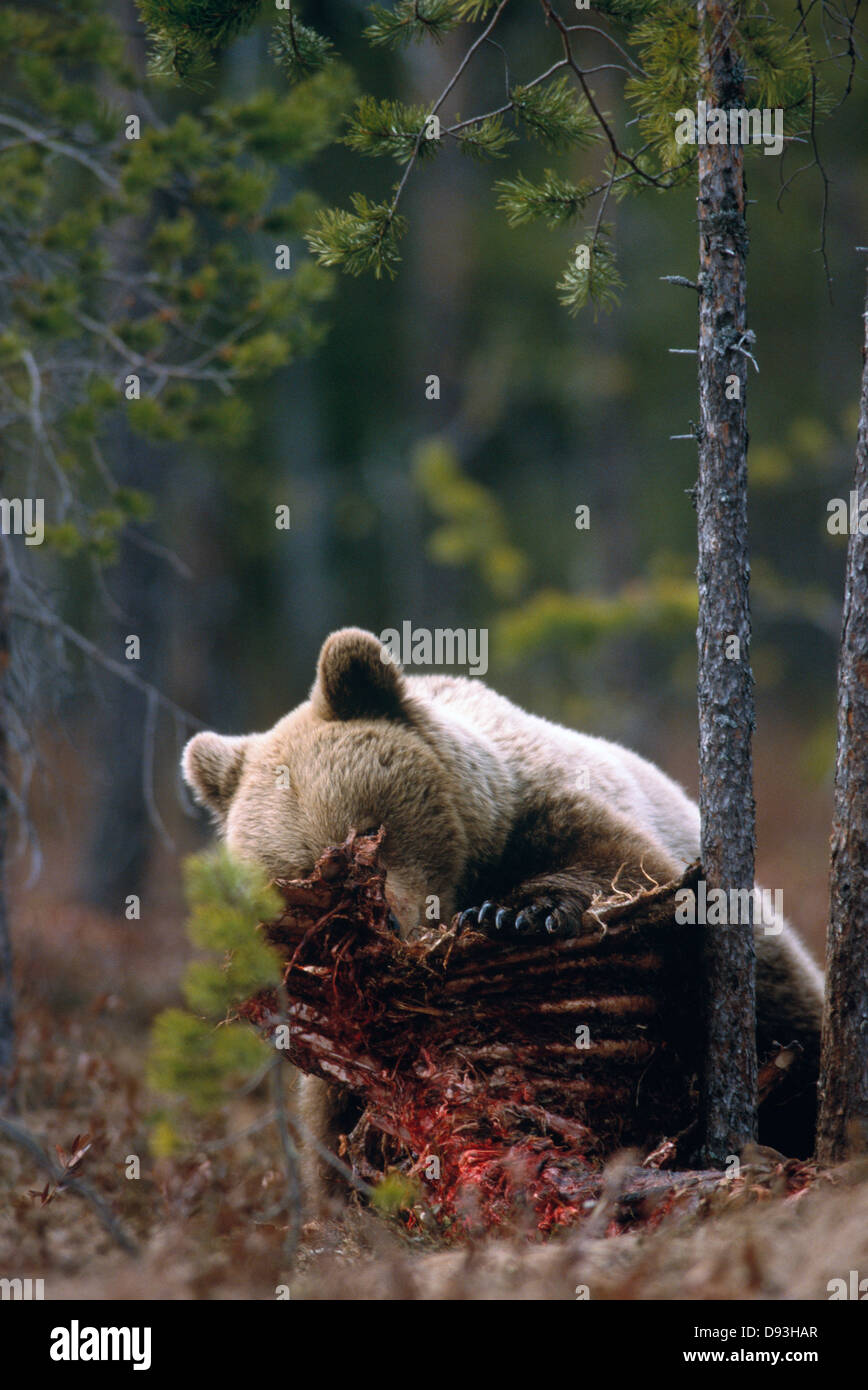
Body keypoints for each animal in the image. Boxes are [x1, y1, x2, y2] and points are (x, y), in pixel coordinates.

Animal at [185, 625, 829, 1200]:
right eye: (295, 882)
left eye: (366, 832)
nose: (387, 929)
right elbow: (336, 1125)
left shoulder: (549, 808)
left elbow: (622, 867)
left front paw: (514, 914)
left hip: (771, 979)